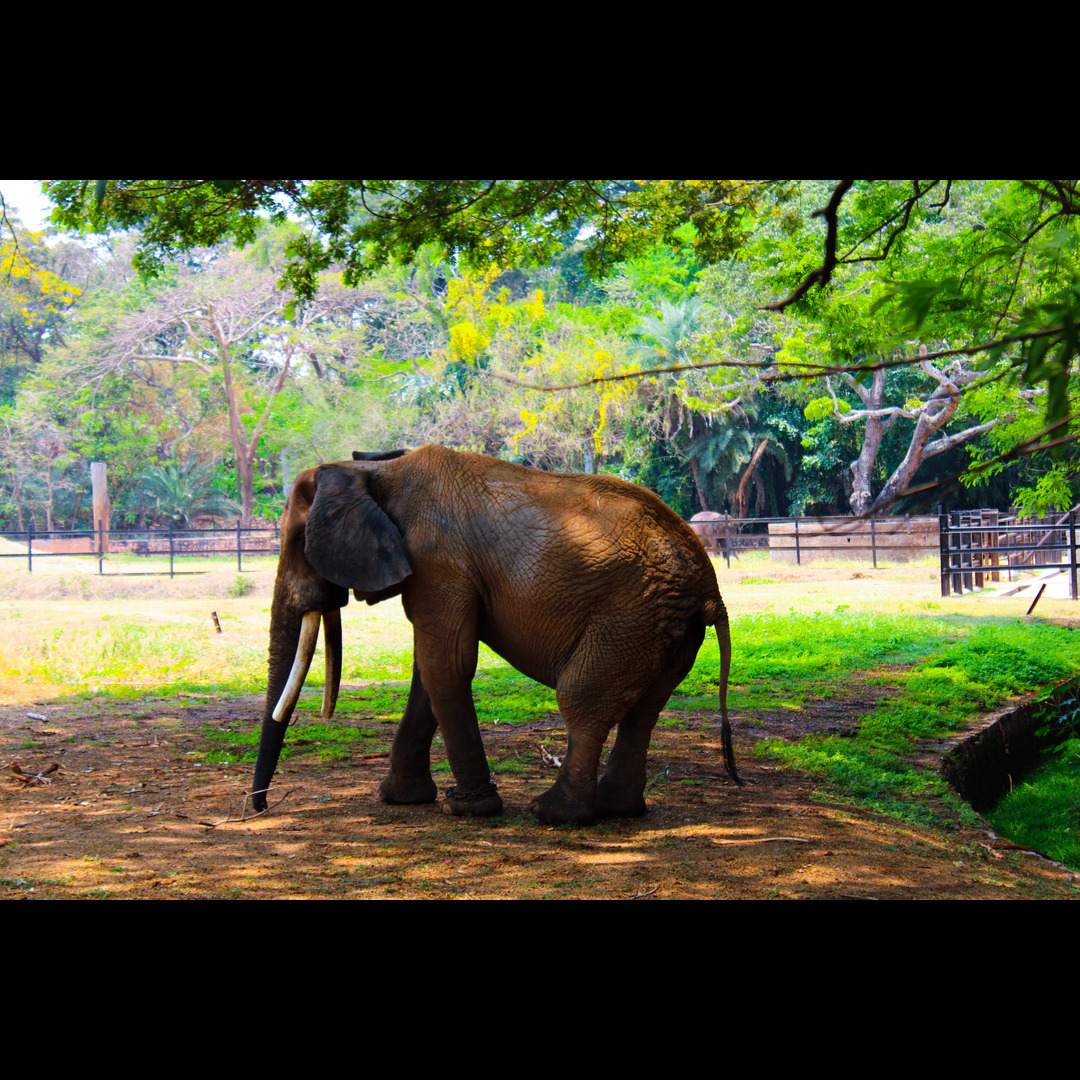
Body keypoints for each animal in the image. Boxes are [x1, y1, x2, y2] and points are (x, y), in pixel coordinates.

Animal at [251, 444, 738, 825]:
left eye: (297, 544)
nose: (258, 809)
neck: (376, 472)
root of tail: (709, 586)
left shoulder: (438, 562)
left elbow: (447, 664)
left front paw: (465, 810)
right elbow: (429, 671)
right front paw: (399, 799)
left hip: (630, 615)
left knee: (581, 698)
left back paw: (554, 814)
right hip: (667, 625)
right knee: (644, 710)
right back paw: (618, 809)